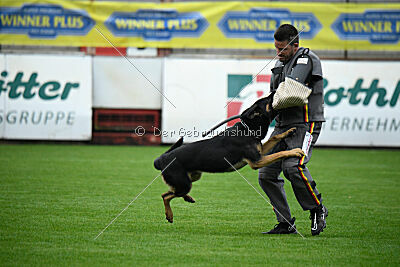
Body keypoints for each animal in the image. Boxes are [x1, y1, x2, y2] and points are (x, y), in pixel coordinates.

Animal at [153, 93, 304, 223]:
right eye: (267, 100)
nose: (274, 91)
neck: (248, 128)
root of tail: (162, 159)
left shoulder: (261, 153)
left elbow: (274, 137)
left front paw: (288, 132)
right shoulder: (257, 161)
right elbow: (279, 153)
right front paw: (295, 151)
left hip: (192, 177)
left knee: (169, 192)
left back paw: (187, 199)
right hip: (185, 183)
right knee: (166, 196)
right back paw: (169, 215)